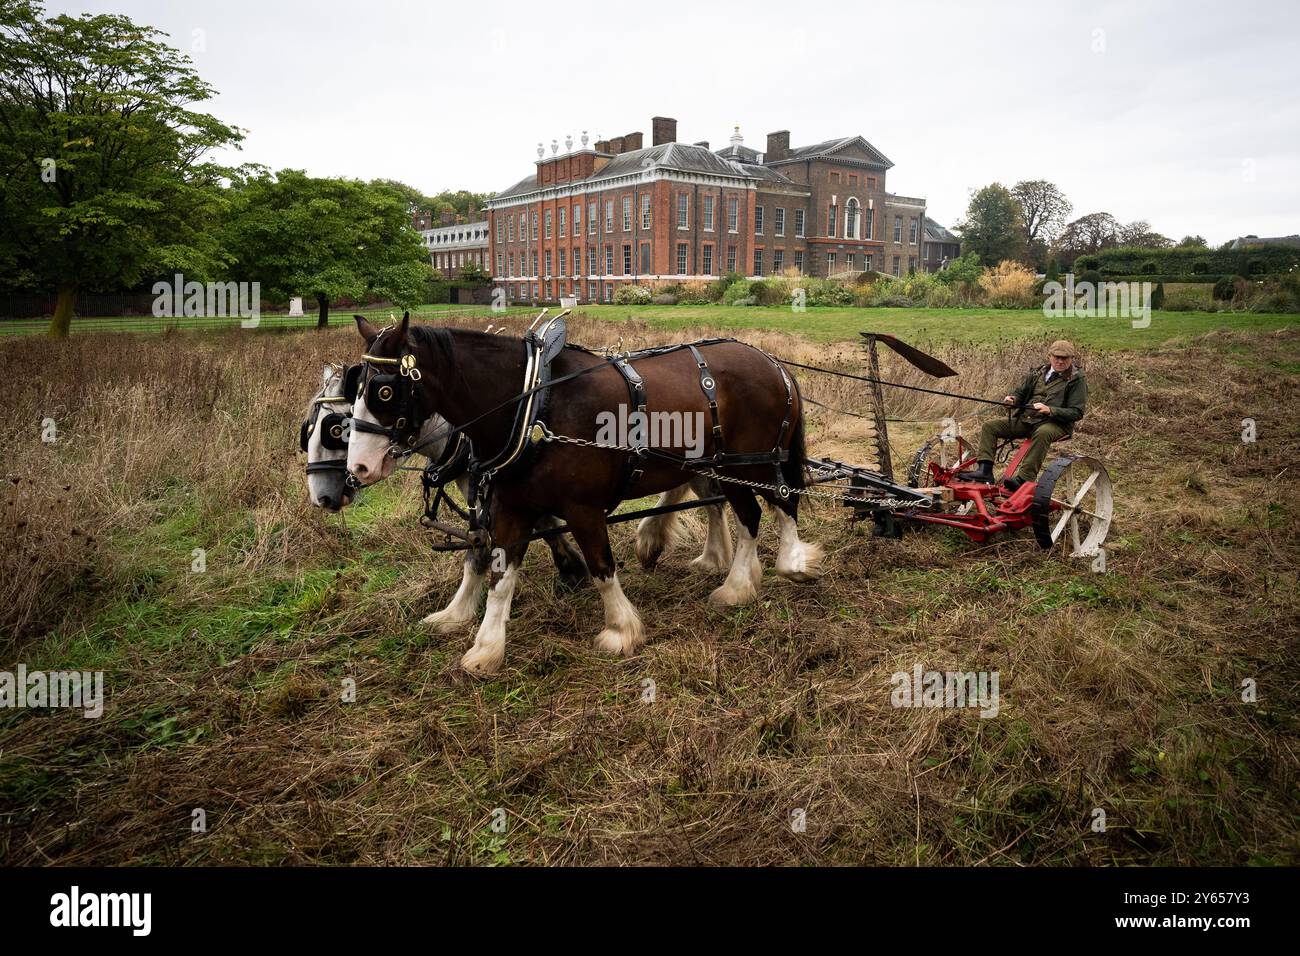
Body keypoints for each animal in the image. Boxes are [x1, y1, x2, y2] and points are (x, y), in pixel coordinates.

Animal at [345, 314, 822, 677]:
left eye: (384, 389)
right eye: (357, 386)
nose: (357, 468)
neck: (534, 408)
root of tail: (773, 363)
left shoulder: (583, 508)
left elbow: (601, 567)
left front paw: (620, 630)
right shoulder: (510, 507)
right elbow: (499, 574)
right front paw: (485, 647)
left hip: (748, 464)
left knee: (777, 505)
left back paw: (774, 570)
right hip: (724, 465)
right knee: (750, 513)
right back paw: (737, 578)